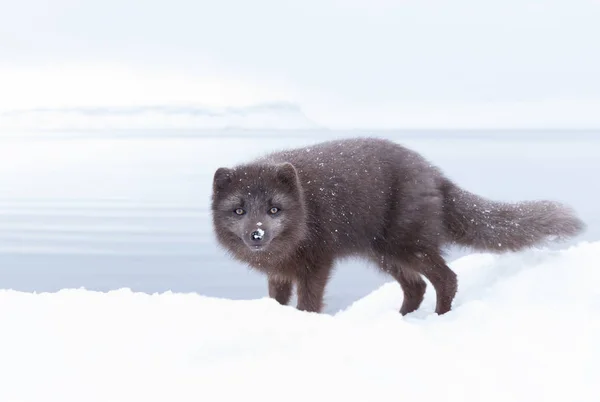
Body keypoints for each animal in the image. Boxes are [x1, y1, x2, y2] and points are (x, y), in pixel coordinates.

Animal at [210, 137, 580, 316]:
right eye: (239, 210)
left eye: (274, 208)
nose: (257, 234)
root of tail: (434, 174)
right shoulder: (280, 272)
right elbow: (277, 300)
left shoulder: (316, 263)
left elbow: (310, 302)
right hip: (386, 254)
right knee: (416, 287)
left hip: (407, 245)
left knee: (446, 278)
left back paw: (439, 319)